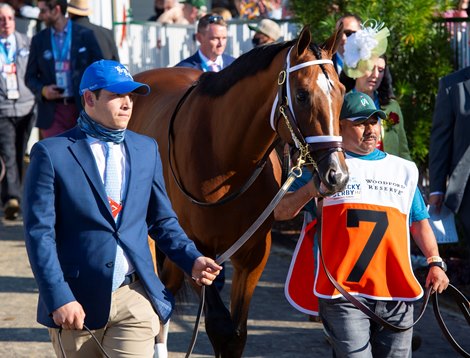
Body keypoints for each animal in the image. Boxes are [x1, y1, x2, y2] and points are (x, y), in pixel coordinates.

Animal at [129, 26, 348, 356]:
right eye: (301, 95)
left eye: (342, 92)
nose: (336, 174)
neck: (224, 155)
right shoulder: (197, 249)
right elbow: (219, 327)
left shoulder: (254, 252)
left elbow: (237, 334)